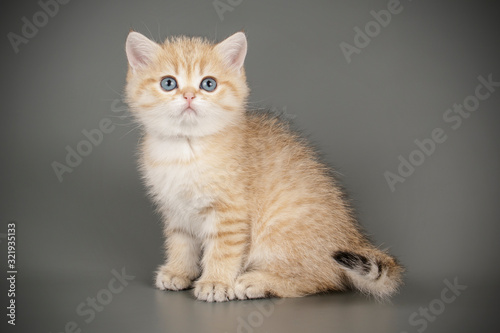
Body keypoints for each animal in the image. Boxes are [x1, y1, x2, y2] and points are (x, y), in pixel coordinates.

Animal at [124, 31, 402, 300]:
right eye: (168, 83)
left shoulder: (230, 212)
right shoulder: (176, 209)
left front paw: (216, 282)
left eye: (208, 84)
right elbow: (181, 242)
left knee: (323, 279)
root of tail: (353, 237)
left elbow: (223, 250)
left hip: (281, 231)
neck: (186, 148)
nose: (189, 95)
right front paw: (178, 271)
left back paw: (256, 282)